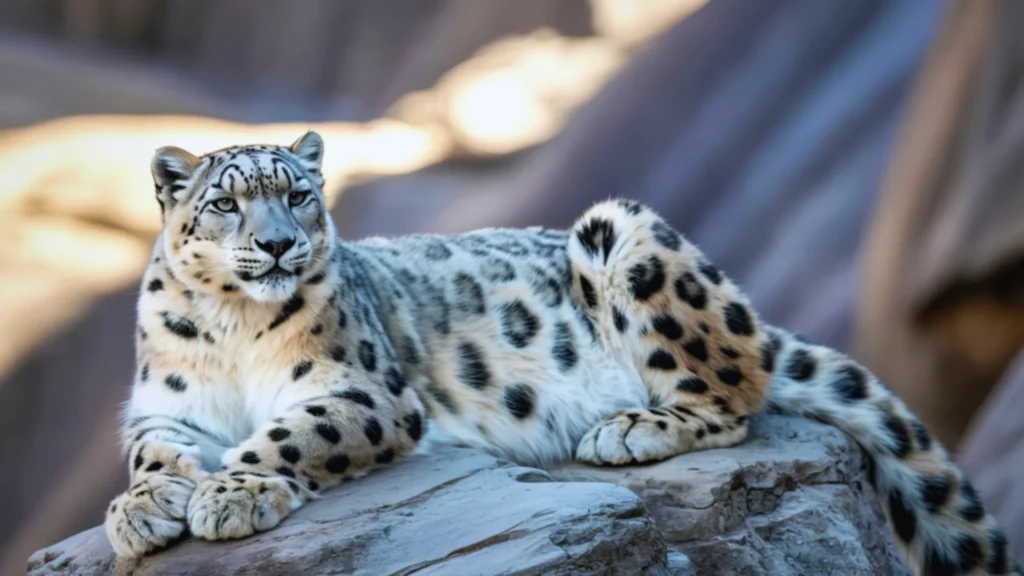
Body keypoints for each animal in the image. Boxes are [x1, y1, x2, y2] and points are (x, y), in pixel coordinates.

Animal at [103, 130, 1019, 575]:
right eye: (224, 203)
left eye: (297, 194)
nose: (280, 245)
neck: (233, 327)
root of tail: (756, 316)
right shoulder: (164, 406)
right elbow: (152, 455)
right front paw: (142, 512)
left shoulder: (368, 389)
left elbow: (293, 432)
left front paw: (231, 494)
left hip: (626, 234)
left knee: (734, 394)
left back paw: (629, 429)